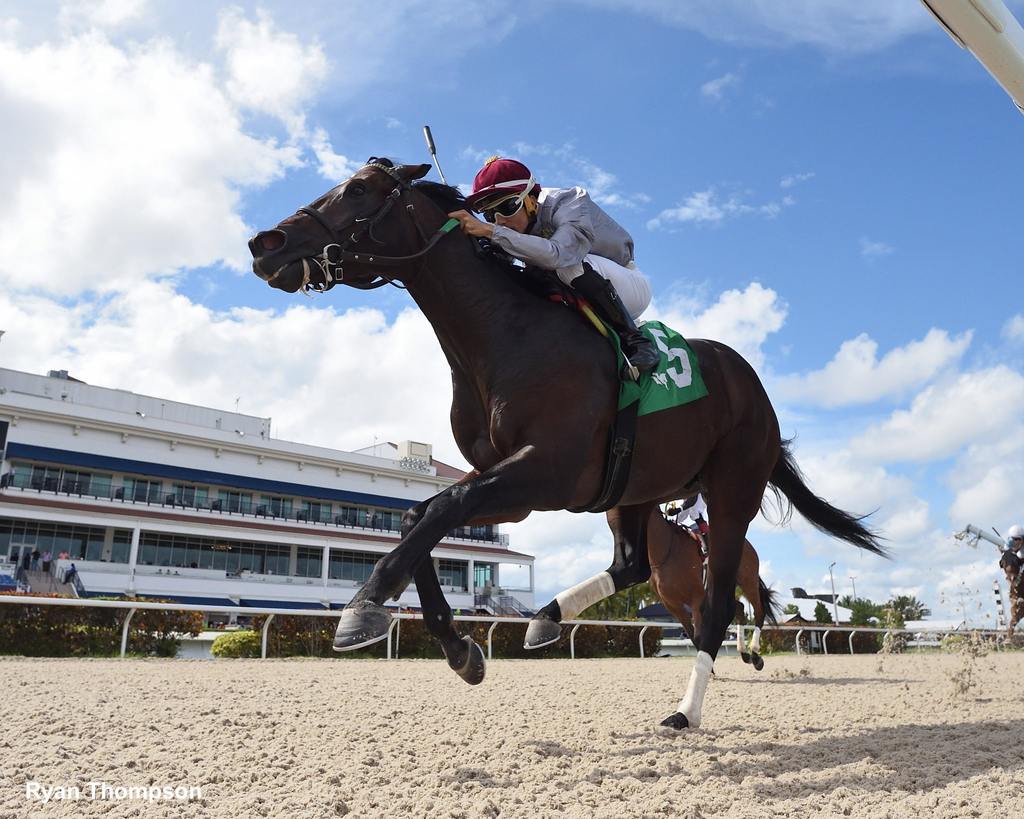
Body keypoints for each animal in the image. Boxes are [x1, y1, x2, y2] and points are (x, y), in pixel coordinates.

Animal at [643, 505, 778, 671]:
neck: (667, 552)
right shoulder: (673, 606)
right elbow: (693, 636)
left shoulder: (697, 598)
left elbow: (700, 635)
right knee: (740, 608)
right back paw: (744, 653)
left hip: (748, 580)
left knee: (759, 610)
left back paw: (755, 655)